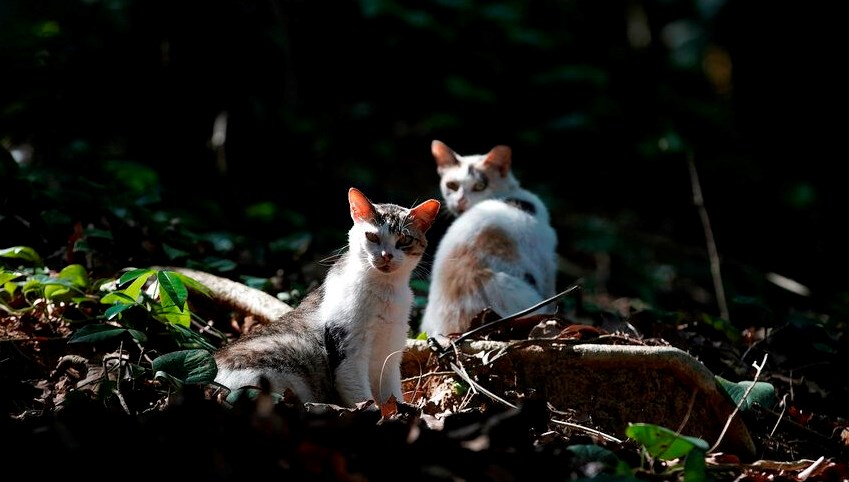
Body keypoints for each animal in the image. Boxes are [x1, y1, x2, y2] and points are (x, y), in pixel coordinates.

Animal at [212, 187, 440, 406]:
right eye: (372, 236)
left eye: (405, 239)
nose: (386, 256)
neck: (386, 290)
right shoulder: (348, 354)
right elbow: (364, 401)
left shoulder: (390, 354)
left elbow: (392, 396)